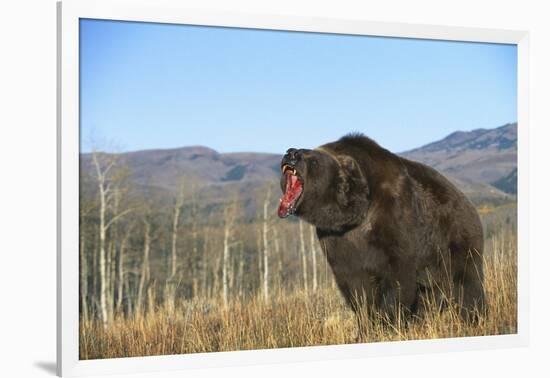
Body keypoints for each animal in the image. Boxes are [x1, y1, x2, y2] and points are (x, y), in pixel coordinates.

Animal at [280, 134, 488, 336]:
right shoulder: (337, 240)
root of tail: (468, 203)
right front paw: (365, 328)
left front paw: (388, 322)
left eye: (312, 159)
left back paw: (474, 318)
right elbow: (355, 287)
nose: (291, 152)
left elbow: (398, 276)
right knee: (432, 293)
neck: (354, 216)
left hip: (454, 240)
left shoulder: (393, 220)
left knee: (466, 283)